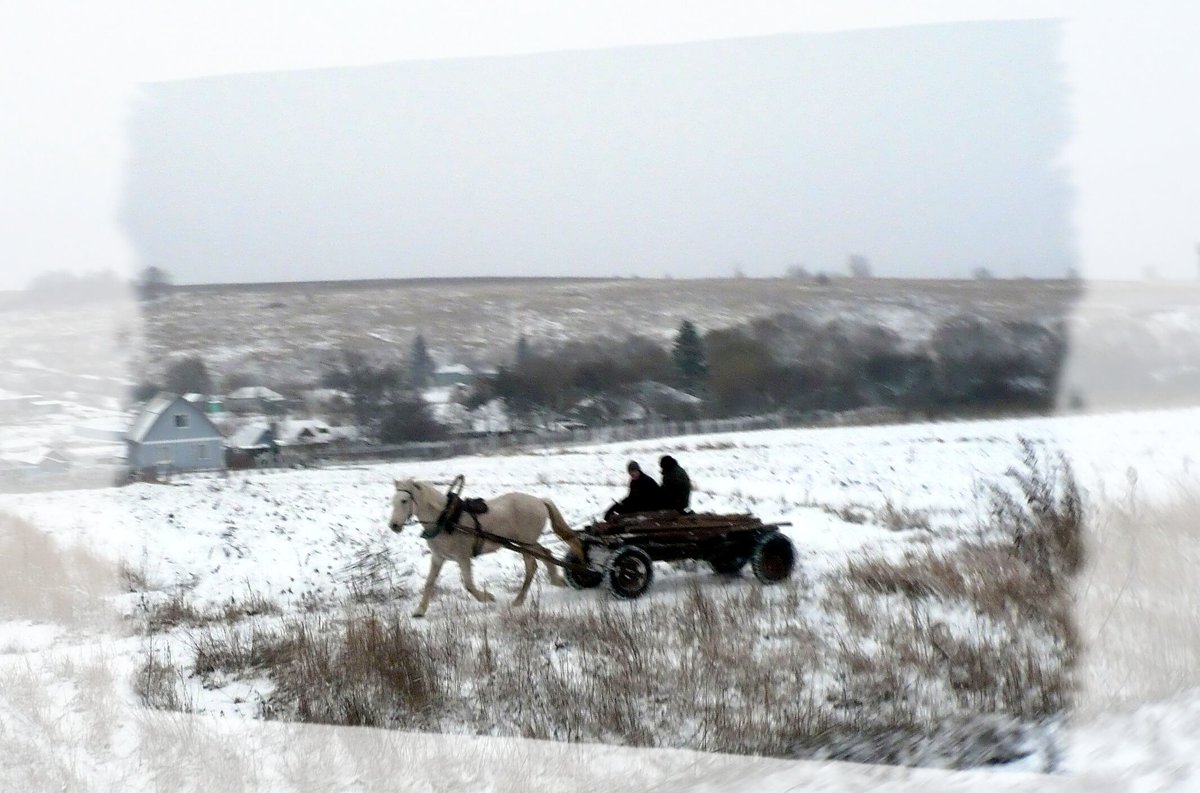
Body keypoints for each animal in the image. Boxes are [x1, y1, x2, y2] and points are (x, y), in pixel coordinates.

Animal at [391, 477, 583, 619]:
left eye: (404, 500)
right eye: (393, 501)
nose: (393, 526)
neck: (446, 519)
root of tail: (539, 501)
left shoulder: (463, 557)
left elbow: (469, 584)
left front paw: (487, 597)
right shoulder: (438, 557)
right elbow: (429, 583)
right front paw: (420, 610)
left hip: (525, 543)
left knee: (532, 565)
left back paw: (519, 600)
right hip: (527, 543)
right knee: (545, 554)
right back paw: (555, 580)